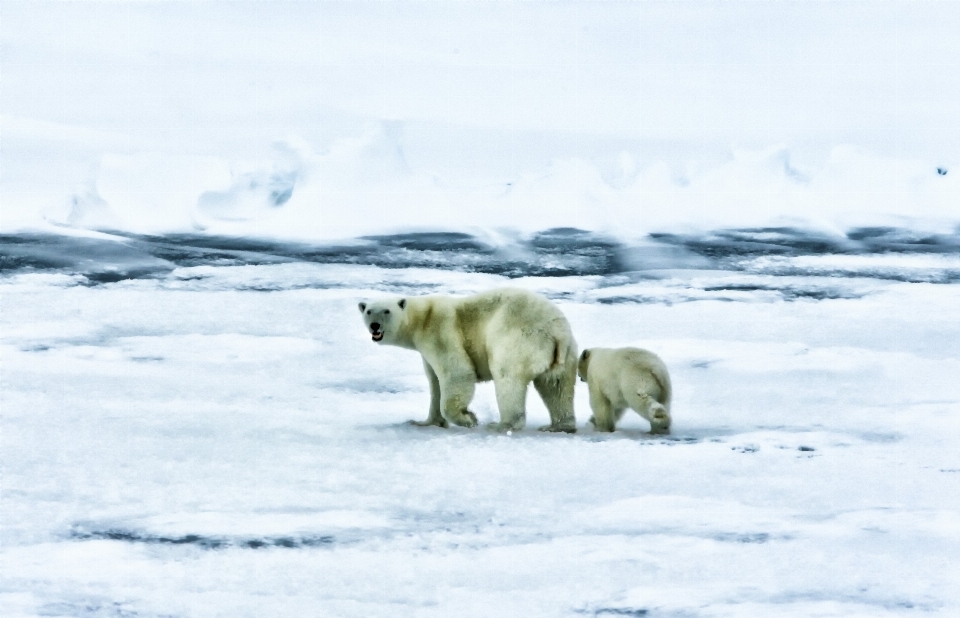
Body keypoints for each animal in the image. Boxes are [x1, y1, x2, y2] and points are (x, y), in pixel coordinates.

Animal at [356, 286, 572, 430]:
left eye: (386, 311)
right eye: (368, 311)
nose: (374, 325)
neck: (422, 317)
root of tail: (555, 331)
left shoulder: (439, 332)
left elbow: (457, 372)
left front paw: (469, 418)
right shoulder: (426, 350)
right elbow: (434, 382)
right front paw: (425, 422)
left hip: (517, 339)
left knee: (507, 377)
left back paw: (501, 425)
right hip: (565, 351)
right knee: (557, 386)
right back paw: (559, 426)